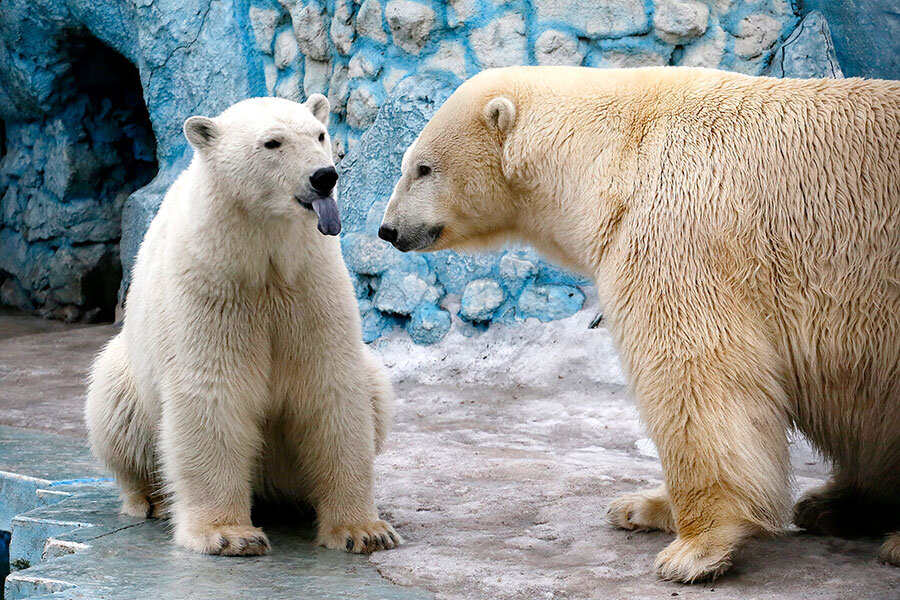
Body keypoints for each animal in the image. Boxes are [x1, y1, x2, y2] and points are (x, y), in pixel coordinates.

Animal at [86, 95, 400, 556]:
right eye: (272, 142)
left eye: (320, 134)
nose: (325, 176)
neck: (261, 256)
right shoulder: (212, 290)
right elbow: (214, 390)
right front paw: (229, 534)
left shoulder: (309, 286)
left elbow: (331, 386)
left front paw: (365, 530)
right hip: (128, 373)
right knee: (115, 409)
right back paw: (153, 498)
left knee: (374, 383)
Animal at [380, 65, 900, 580]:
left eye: (423, 167)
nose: (388, 230)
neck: (613, 157)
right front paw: (640, 507)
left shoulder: (675, 231)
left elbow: (696, 376)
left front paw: (694, 548)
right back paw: (830, 505)